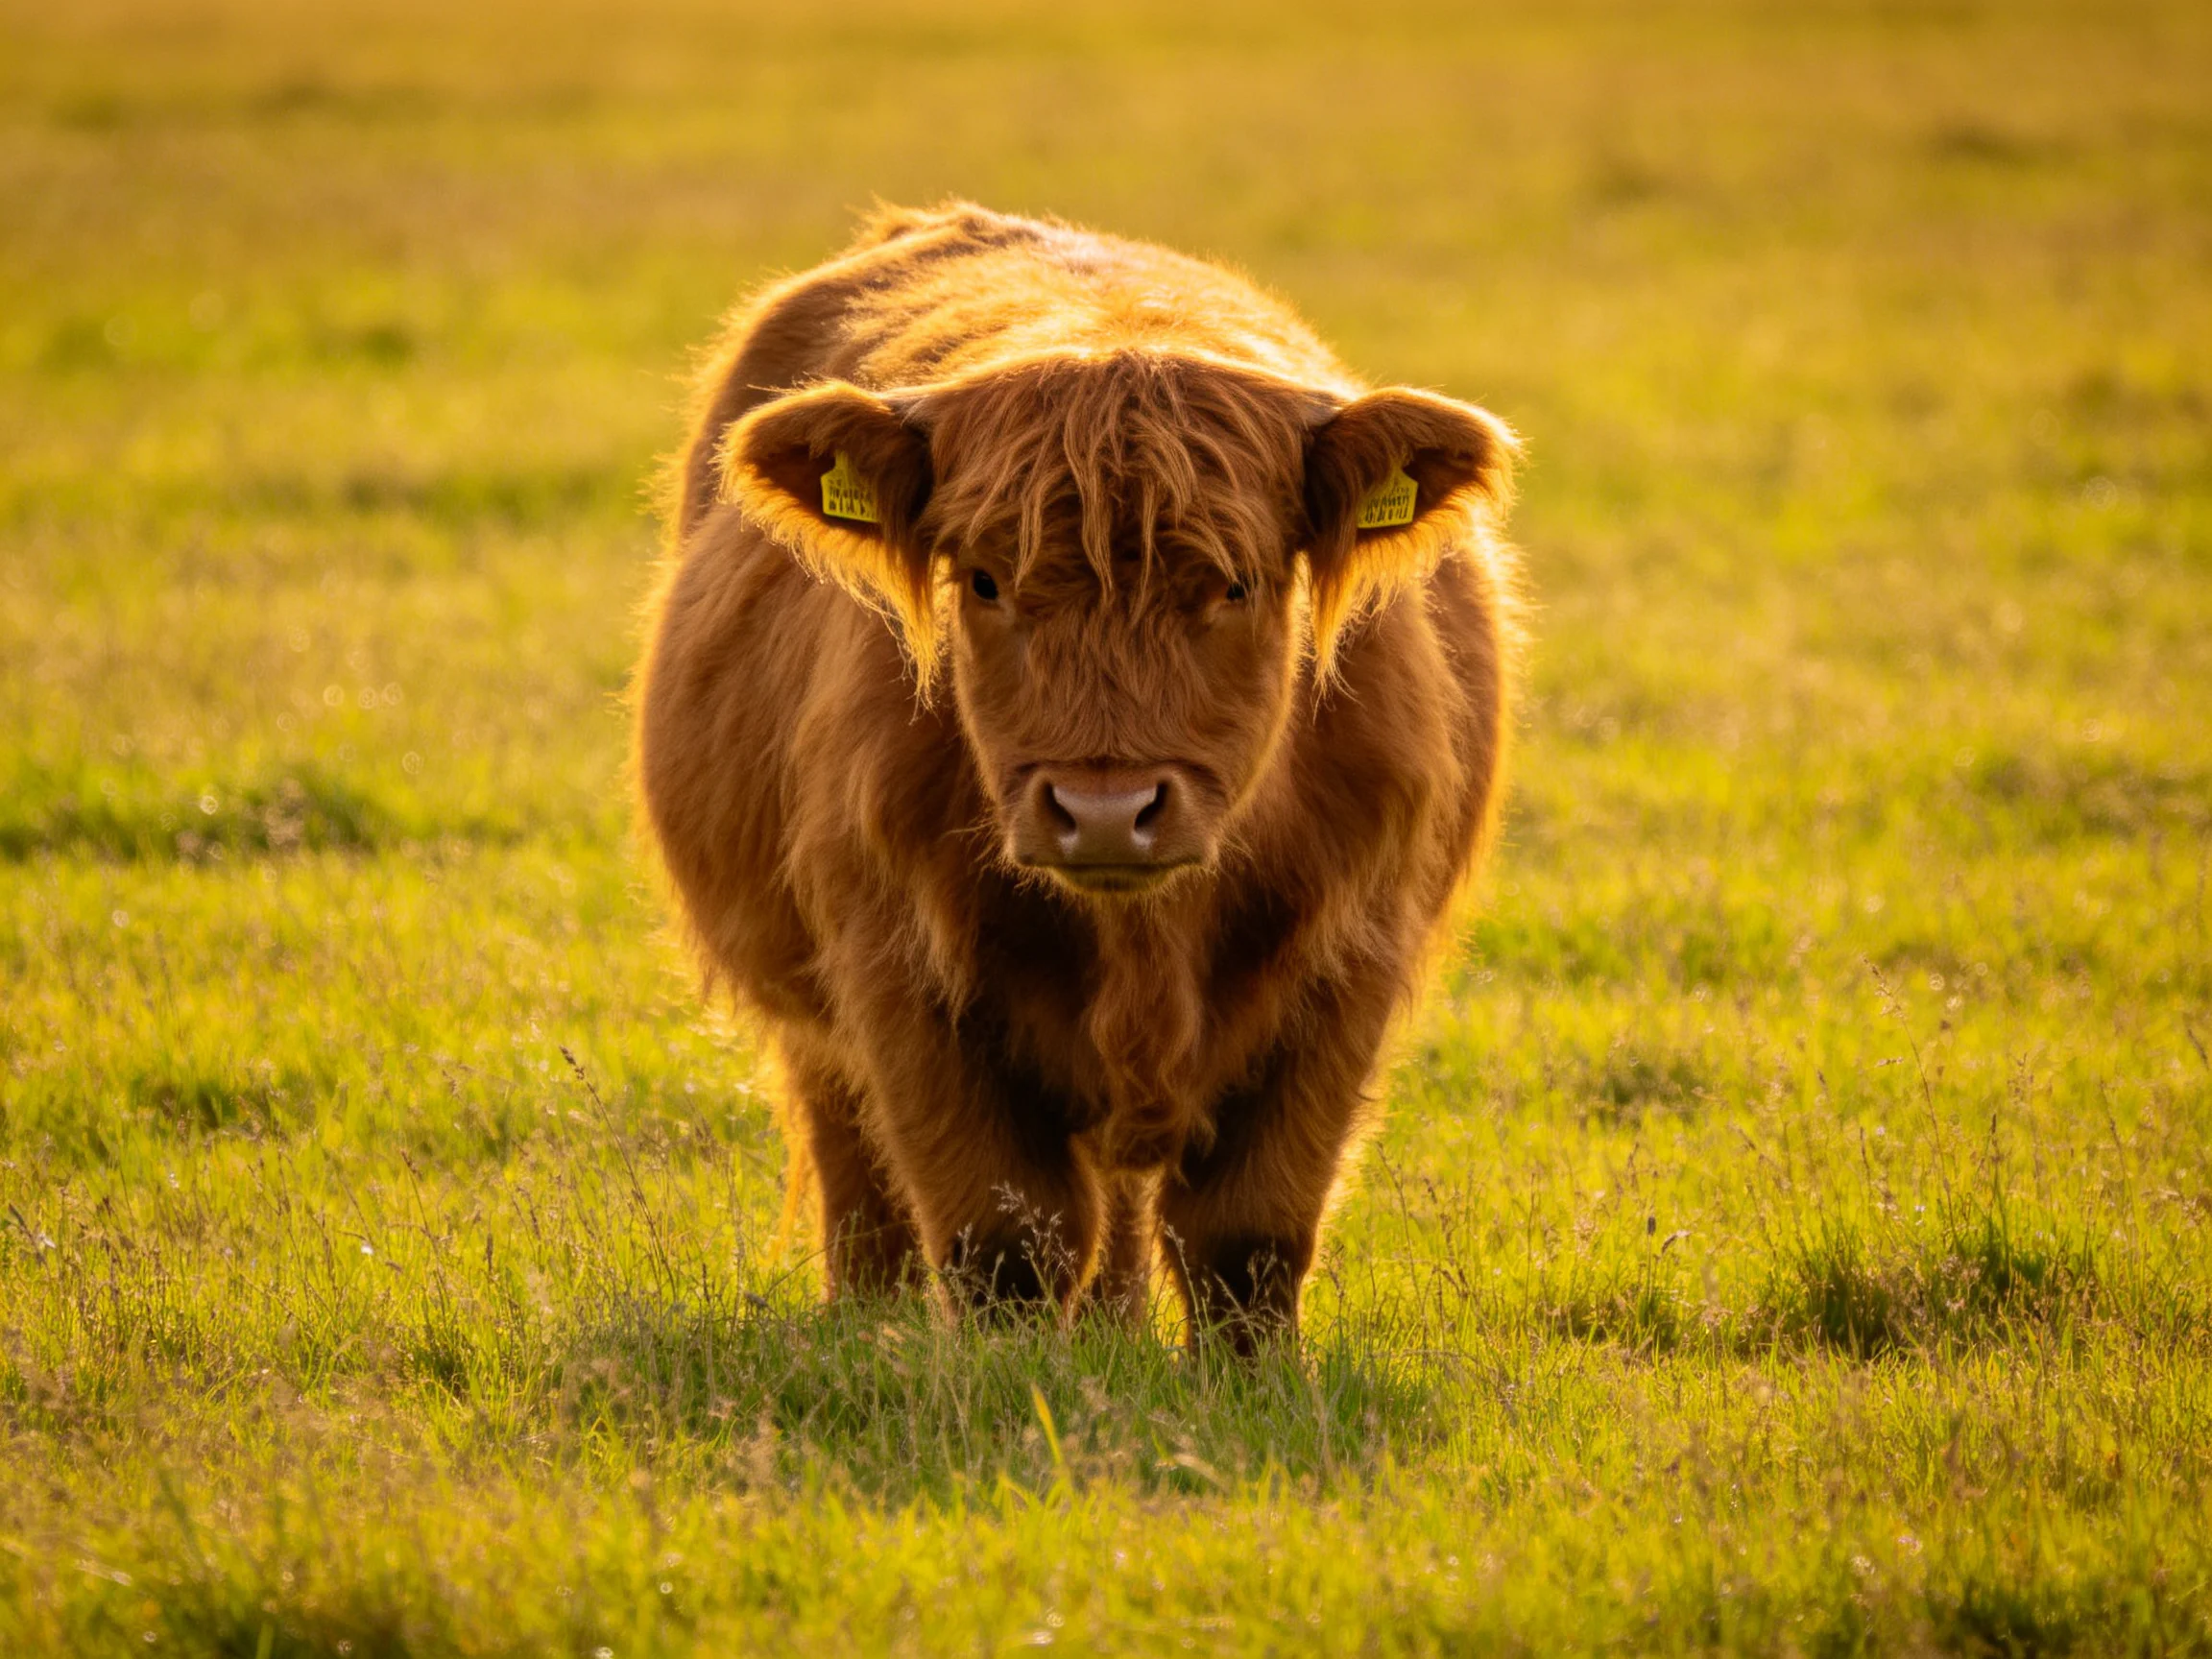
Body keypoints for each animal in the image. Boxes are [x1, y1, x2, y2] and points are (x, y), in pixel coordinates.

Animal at [634, 202, 1519, 1348]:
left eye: (1237, 583)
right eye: (984, 580)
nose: (1105, 812)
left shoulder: (1351, 953)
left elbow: (1247, 1235)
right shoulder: (898, 962)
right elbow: (1002, 1237)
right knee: (856, 1160)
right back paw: (866, 1327)